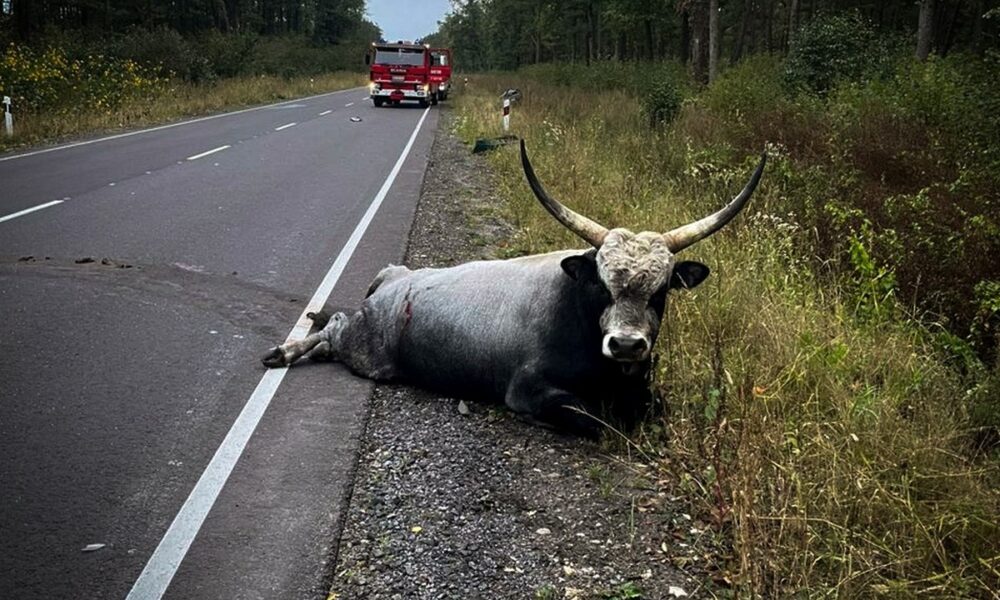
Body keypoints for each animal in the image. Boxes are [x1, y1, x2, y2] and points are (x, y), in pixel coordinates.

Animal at [264, 143, 764, 438]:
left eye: (660, 291)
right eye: (601, 286)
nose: (625, 345)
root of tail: (395, 276)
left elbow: (653, 408)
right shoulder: (529, 390)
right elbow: (600, 422)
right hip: (366, 349)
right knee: (335, 328)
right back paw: (287, 350)